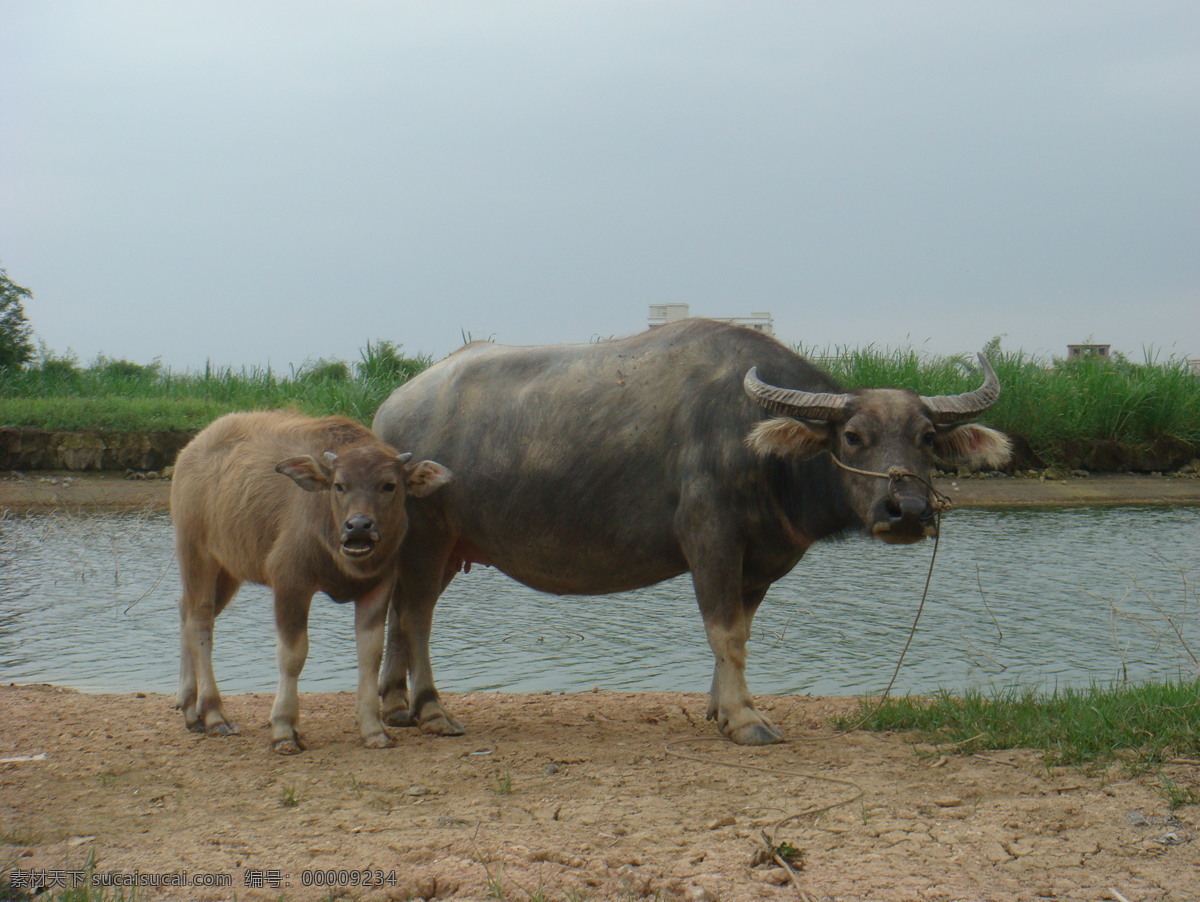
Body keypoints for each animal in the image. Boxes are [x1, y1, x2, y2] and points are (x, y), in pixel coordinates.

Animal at [169, 412, 451, 748]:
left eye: (389, 485)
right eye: (339, 485)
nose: (359, 526)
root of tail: (192, 449)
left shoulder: (378, 587)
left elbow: (370, 654)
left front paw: (373, 728)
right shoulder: (290, 583)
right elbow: (292, 654)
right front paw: (284, 728)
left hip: (228, 569)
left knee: (187, 612)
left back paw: (190, 708)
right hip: (197, 554)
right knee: (200, 622)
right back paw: (213, 713)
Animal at [374, 321, 1012, 743]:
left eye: (927, 438)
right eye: (853, 437)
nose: (908, 510)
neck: (759, 448)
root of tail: (389, 414)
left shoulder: (760, 561)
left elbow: (741, 634)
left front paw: (720, 707)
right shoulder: (711, 542)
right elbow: (723, 632)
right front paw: (746, 720)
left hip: (442, 548)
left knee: (399, 611)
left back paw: (394, 705)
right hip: (428, 537)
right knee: (416, 616)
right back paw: (431, 710)